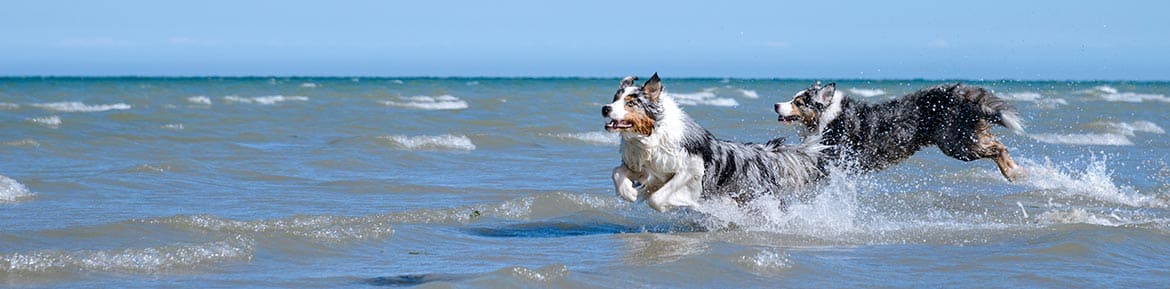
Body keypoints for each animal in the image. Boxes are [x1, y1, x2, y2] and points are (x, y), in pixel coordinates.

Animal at [603, 73, 823, 210]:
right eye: (615, 99)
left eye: (631, 103)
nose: (605, 108)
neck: (650, 137)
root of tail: (765, 152)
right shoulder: (643, 166)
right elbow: (617, 172)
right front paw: (629, 193)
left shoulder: (691, 168)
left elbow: (657, 198)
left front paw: (669, 203)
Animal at [776, 81, 1024, 180]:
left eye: (799, 102)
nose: (776, 105)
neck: (828, 116)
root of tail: (954, 94)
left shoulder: (837, 157)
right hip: (964, 138)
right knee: (996, 143)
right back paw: (1016, 170)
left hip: (956, 143)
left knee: (998, 147)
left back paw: (1013, 172)